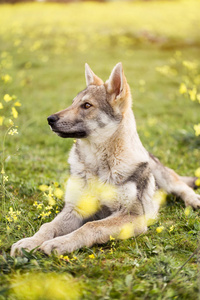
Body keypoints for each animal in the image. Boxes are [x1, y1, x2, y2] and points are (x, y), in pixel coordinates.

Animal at [11, 62, 200, 255]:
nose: (50, 119)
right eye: (73, 103)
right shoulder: (75, 208)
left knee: (182, 186)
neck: (97, 165)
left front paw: (60, 243)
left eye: (87, 105)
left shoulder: (133, 216)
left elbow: (91, 226)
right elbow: (48, 226)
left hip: (162, 176)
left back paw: (194, 200)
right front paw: (30, 242)